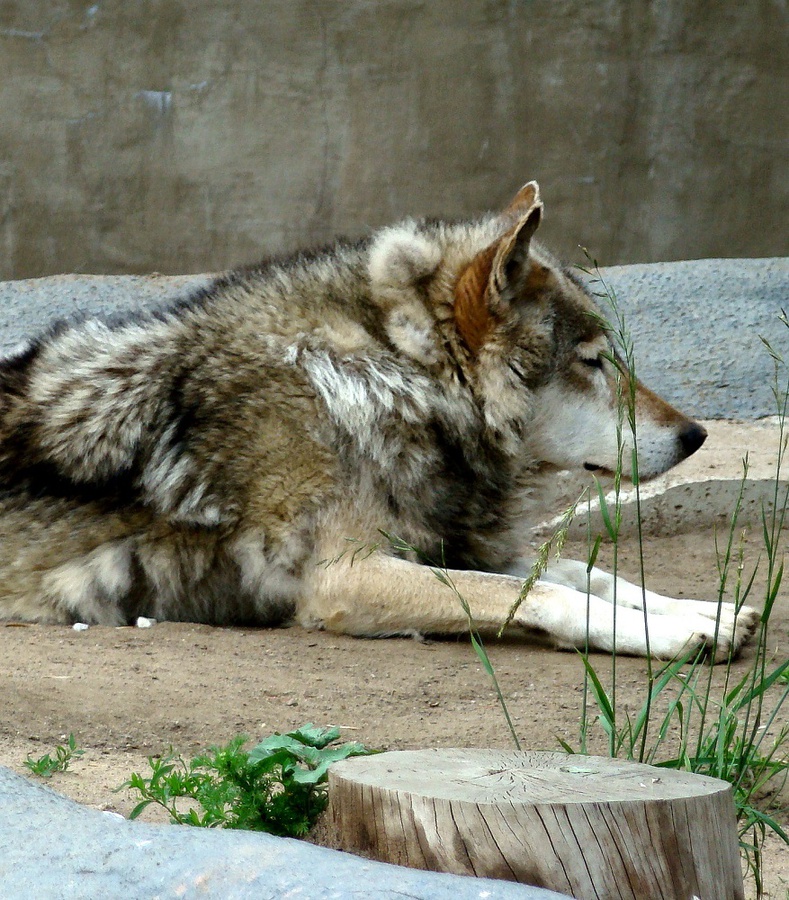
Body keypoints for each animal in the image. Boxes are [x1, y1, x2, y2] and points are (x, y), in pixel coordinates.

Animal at [0, 185, 756, 660]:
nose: (697, 437)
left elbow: (583, 572)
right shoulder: (346, 577)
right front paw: (672, 636)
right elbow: (544, 590)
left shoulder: (442, 540)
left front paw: (705, 614)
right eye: (594, 361)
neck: (389, 382)